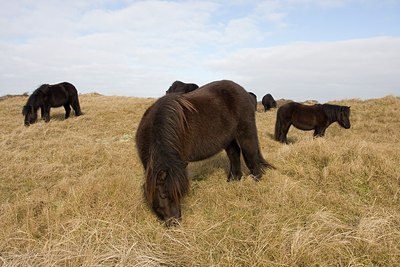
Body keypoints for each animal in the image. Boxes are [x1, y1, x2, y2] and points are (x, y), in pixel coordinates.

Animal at [135, 79, 272, 226]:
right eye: (164, 194)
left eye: (180, 194)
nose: (175, 222)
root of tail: (243, 91)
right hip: (229, 140)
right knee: (234, 155)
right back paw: (233, 180)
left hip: (246, 134)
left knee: (251, 157)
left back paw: (256, 183)